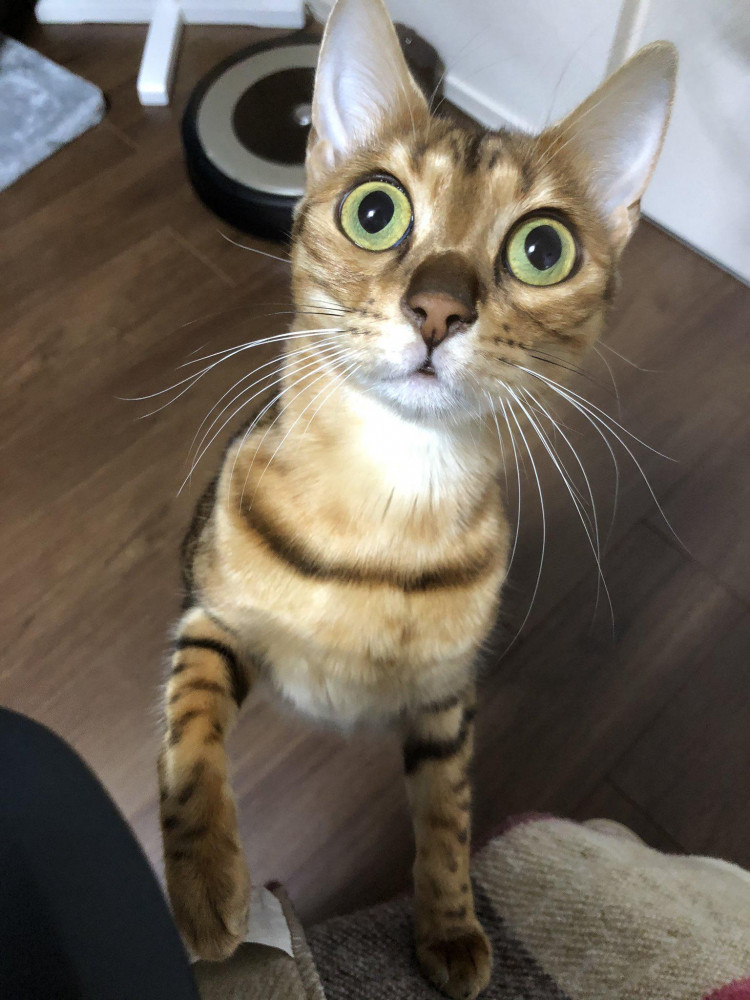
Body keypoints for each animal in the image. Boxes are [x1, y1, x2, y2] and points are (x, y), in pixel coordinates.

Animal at [156, 1, 676, 997]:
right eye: (374, 210)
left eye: (543, 248)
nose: (438, 309)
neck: (387, 501)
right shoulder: (214, 613)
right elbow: (190, 714)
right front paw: (204, 886)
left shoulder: (446, 699)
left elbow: (449, 816)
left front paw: (450, 926)